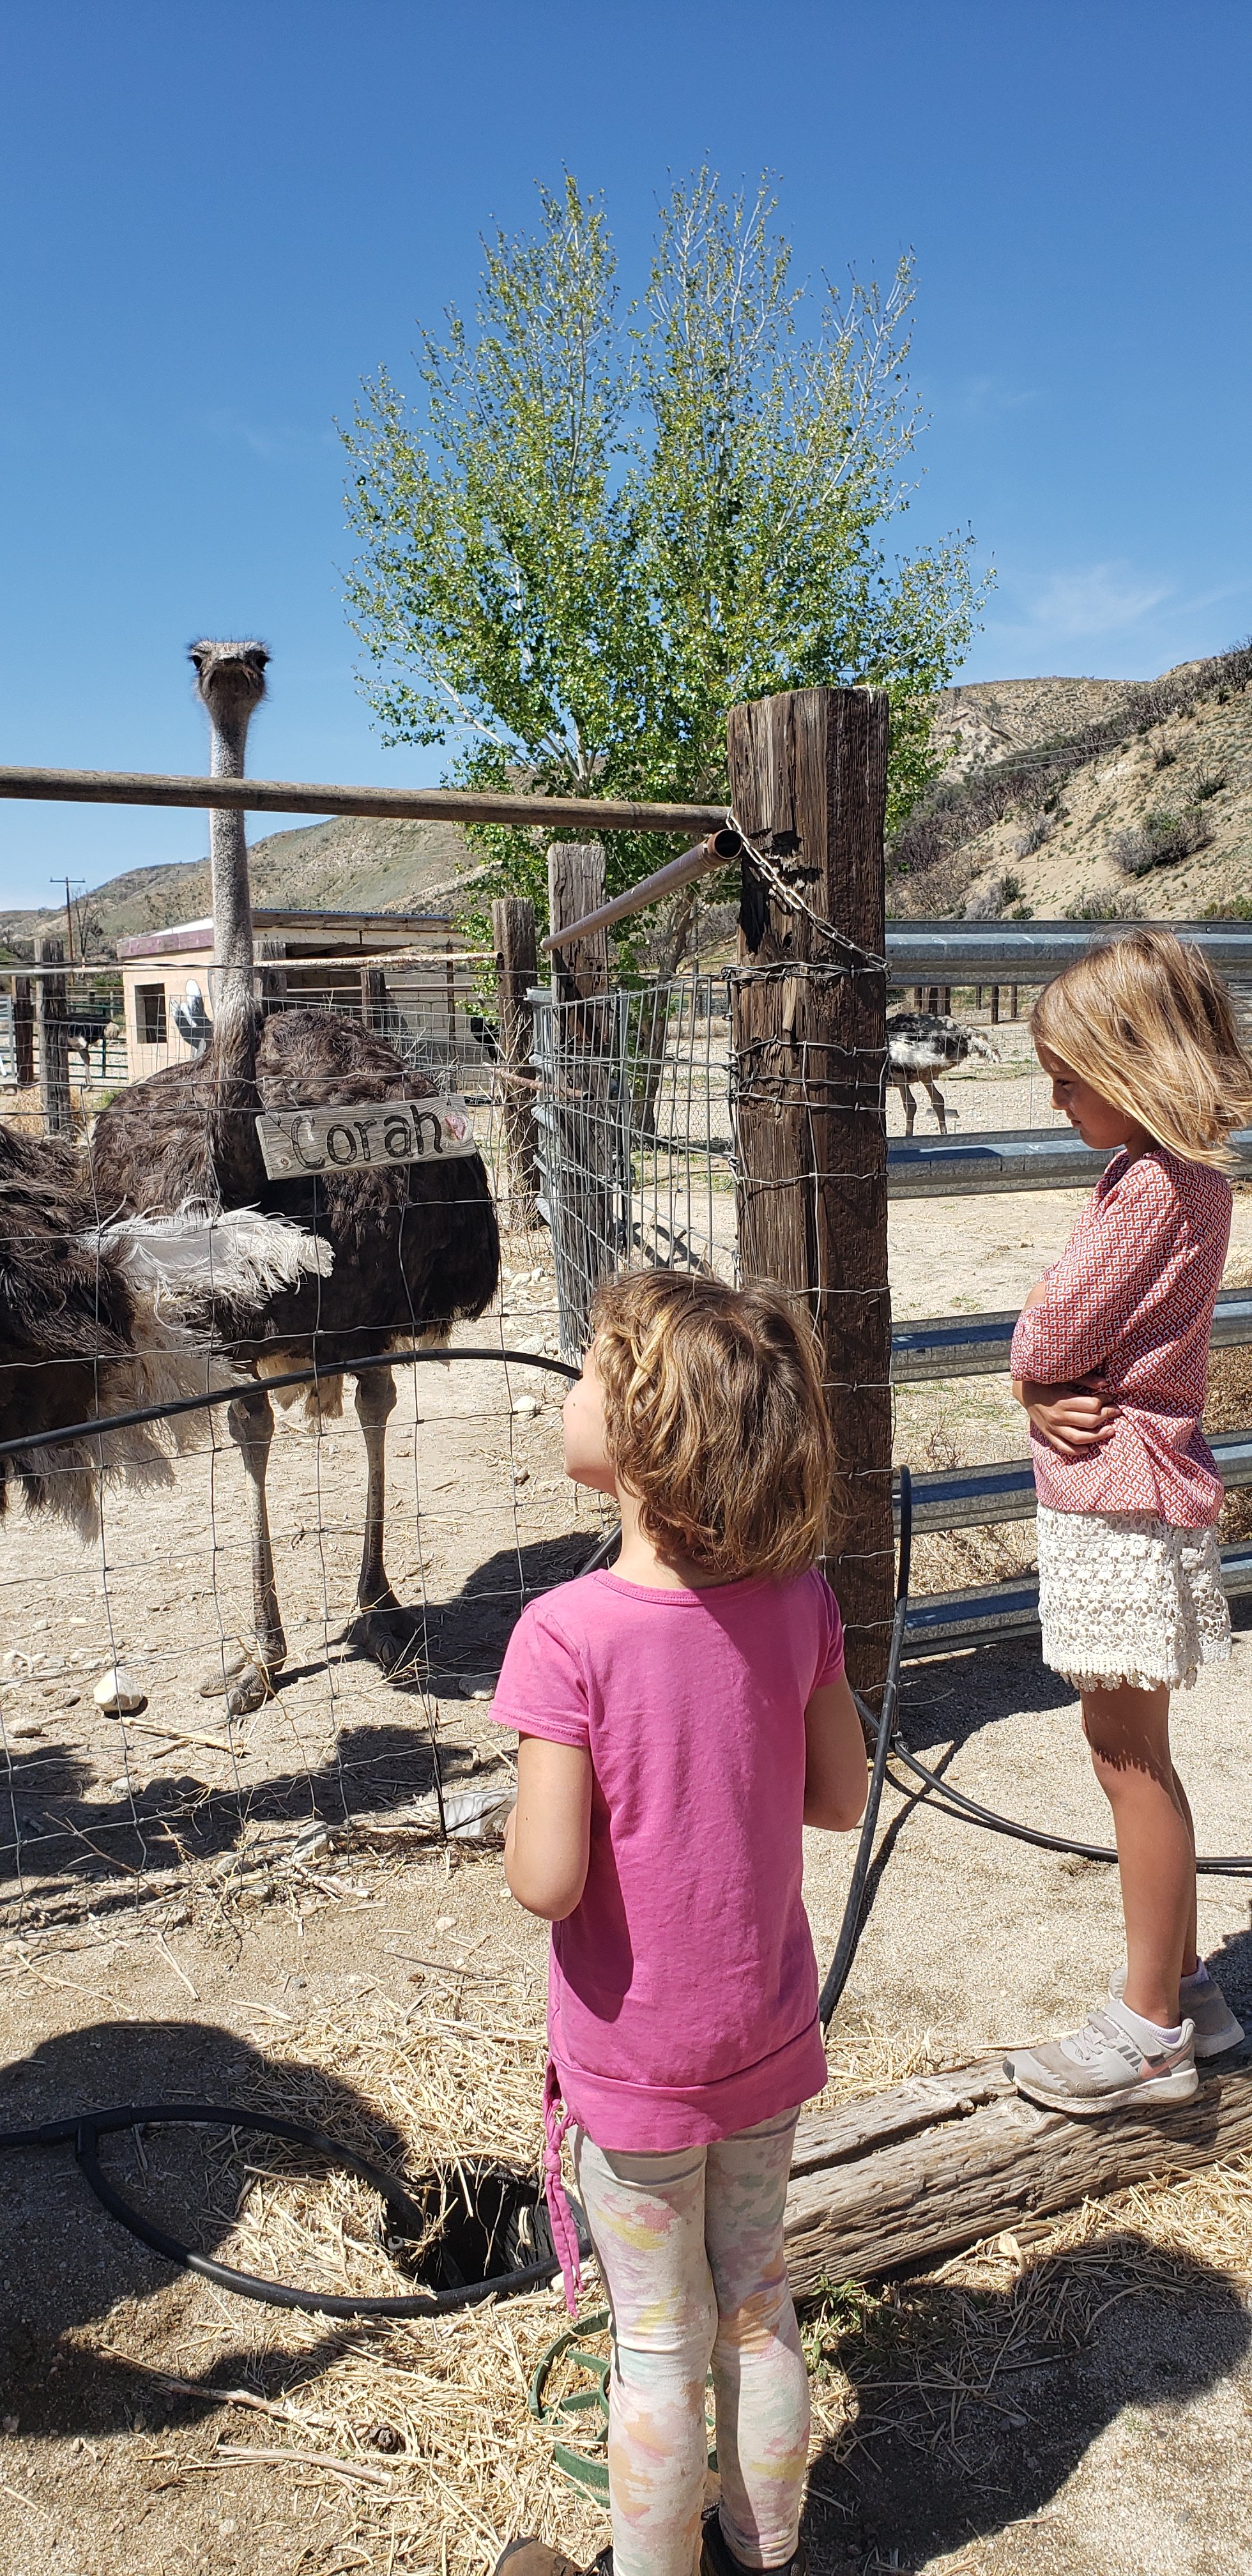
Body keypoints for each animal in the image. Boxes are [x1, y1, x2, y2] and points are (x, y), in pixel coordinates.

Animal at [89, 642, 500, 1710]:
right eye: (199, 657)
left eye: (258, 658)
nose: (229, 666)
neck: (258, 1180)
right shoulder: (229, 1339)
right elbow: (249, 1433)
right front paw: (260, 1654)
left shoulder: (372, 1312)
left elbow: (373, 1406)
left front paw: (381, 1613)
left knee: (373, 1405)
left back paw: (381, 1603)